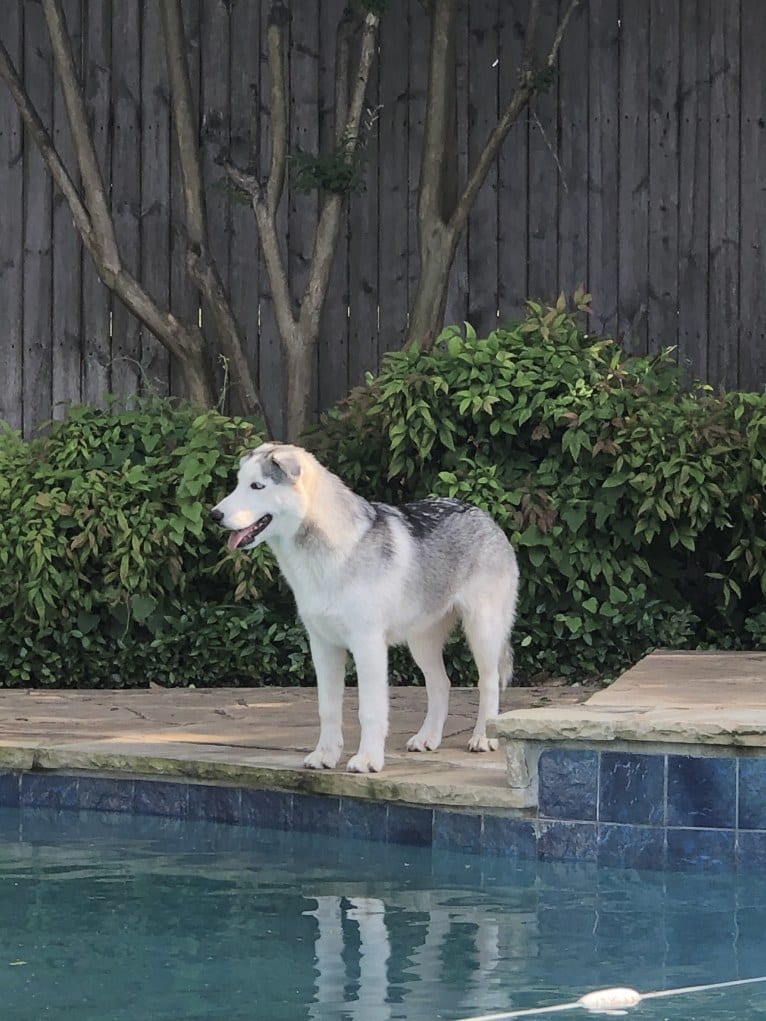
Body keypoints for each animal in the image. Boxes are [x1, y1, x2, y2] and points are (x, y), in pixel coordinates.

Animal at [213, 445, 518, 771]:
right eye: (238, 484)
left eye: (257, 486)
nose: (214, 514)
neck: (325, 556)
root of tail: (482, 514)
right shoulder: (323, 647)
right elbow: (327, 709)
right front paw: (325, 755)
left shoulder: (368, 646)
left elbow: (369, 711)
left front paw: (368, 760)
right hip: (421, 643)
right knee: (441, 684)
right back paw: (427, 738)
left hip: (482, 633)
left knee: (488, 683)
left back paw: (483, 737)